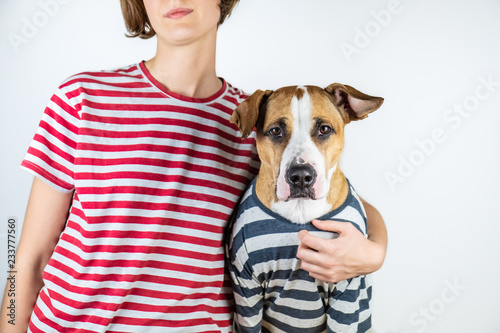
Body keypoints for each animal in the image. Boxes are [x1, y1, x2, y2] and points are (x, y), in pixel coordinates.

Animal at [227, 83, 382, 332]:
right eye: (275, 131)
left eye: (324, 129)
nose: (300, 176)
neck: (300, 209)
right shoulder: (245, 289)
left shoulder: (348, 289)